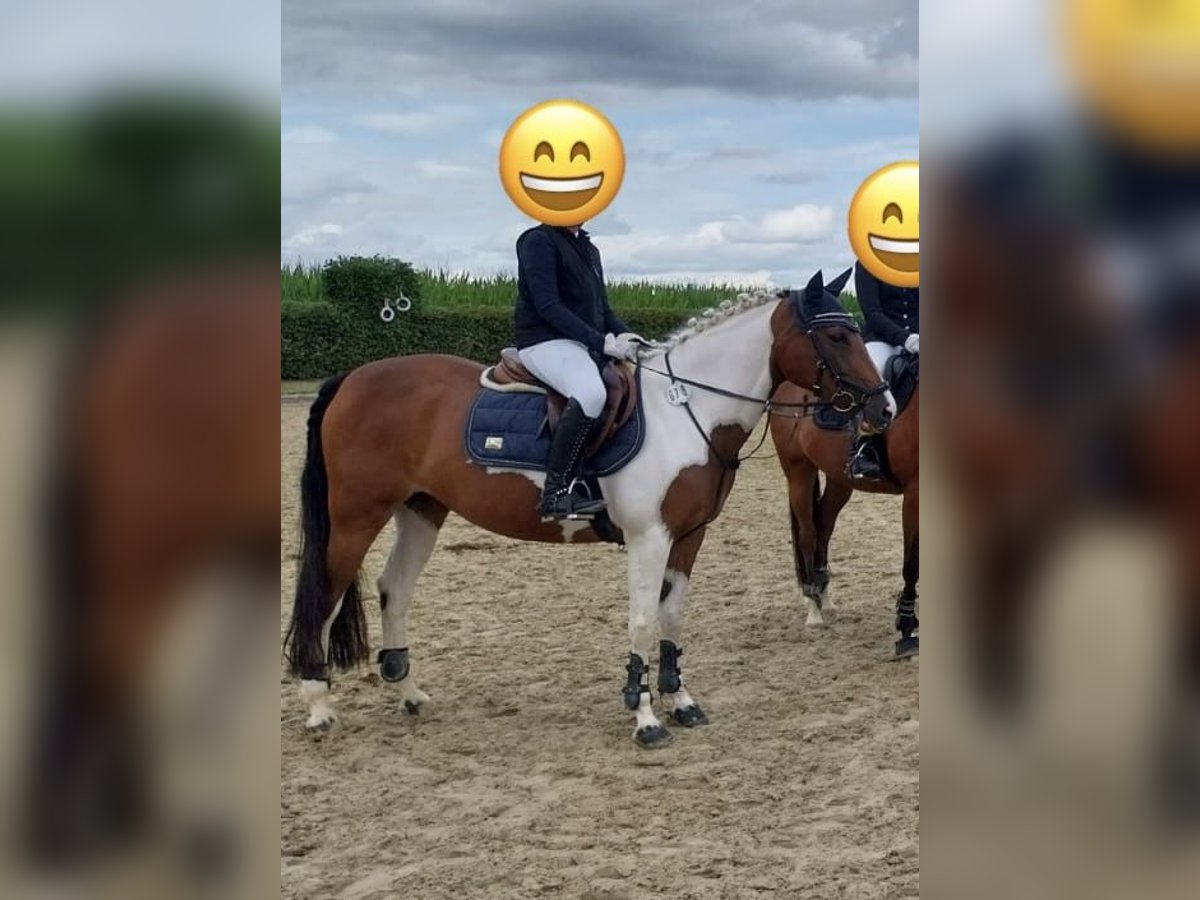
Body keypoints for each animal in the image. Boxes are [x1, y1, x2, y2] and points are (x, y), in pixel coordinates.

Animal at [283, 269, 895, 747]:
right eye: (837, 335)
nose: (884, 409)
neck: (687, 407)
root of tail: (352, 378)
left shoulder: (688, 535)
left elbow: (673, 616)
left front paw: (681, 700)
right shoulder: (650, 536)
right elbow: (642, 619)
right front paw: (644, 716)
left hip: (421, 509)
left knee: (395, 588)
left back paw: (409, 692)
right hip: (357, 514)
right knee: (324, 594)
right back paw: (318, 705)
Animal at [770, 353, 918, 658]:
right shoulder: (914, 492)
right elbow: (912, 563)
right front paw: (907, 629)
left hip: (840, 480)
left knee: (823, 527)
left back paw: (824, 596)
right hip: (799, 474)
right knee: (808, 534)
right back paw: (813, 607)